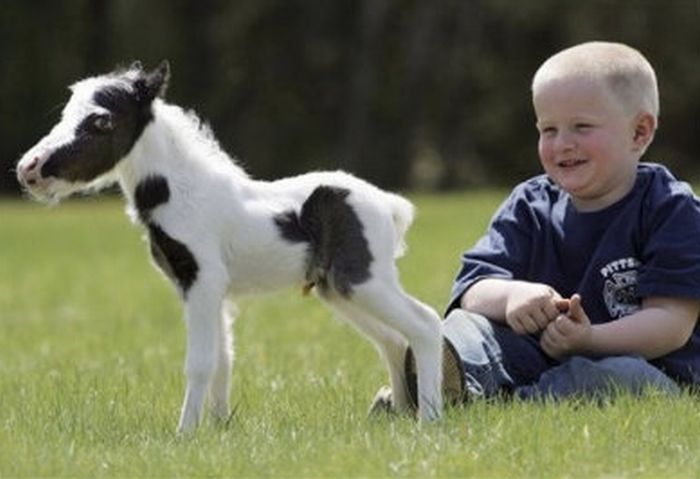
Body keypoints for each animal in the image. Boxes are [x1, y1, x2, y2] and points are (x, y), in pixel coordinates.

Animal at [16, 61, 442, 436]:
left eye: (101, 120)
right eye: (65, 112)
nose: (29, 169)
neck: (182, 193)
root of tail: (389, 204)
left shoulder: (203, 281)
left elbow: (201, 362)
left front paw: (184, 434)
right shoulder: (205, 289)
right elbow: (223, 359)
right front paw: (218, 428)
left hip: (363, 280)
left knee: (425, 323)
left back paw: (429, 420)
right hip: (336, 288)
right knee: (392, 340)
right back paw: (403, 414)